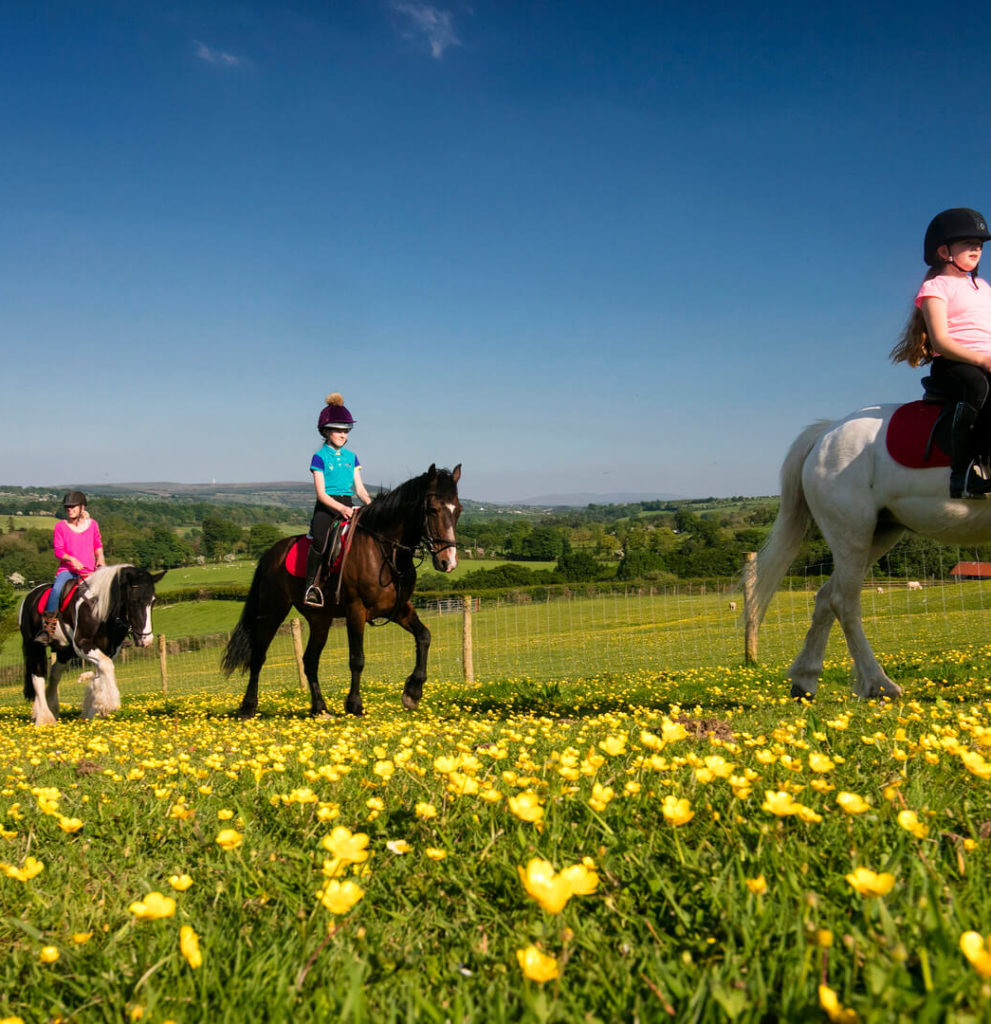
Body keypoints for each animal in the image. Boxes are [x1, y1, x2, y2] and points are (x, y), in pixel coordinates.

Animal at [19, 564, 166, 725]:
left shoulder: (109, 649)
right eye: (134, 601)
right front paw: (109, 704)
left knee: (55, 673)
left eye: (153, 601)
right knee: (37, 677)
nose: (146, 639)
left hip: (64, 651)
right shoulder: (83, 645)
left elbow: (99, 674)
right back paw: (44, 718)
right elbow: (106, 666)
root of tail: (31, 595)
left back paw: (50, 708)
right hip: (35, 647)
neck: (99, 611)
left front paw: (93, 710)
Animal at [221, 464, 462, 718]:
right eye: (433, 510)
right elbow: (357, 658)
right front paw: (355, 705)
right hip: (272, 612)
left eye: (458, 510)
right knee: (258, 656)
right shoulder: (356, 610)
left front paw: (412, 693)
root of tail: (270, 553)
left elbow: (424, 636)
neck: (385, 550)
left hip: (319, 619)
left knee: (310, 660)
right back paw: (248, 707)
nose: (448, 562)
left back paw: (319, 708)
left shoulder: (397, 609)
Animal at [753, 403, 991, 701]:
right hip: (853, 533)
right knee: (843, 603)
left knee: (825, 597)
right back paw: (879, 684)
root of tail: (826, 433)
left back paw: (804, 681)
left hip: (880, 534)